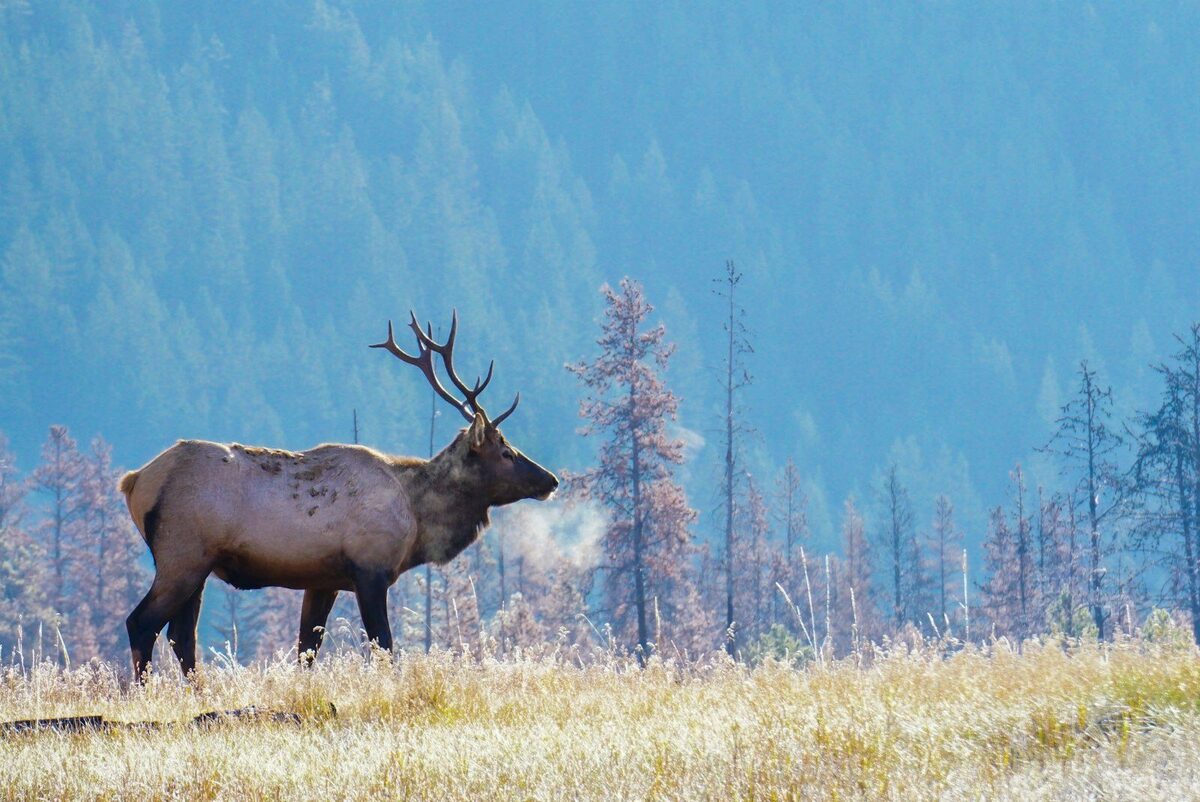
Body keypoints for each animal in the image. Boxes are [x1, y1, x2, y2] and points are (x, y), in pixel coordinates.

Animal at [118, 311, 558, 679]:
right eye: (505, 451)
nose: (551, 480)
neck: (416, 519)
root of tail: (134, 481)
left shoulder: (322, 580)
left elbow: (307, 650)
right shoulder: (370, 569)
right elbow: (384, 647)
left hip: (199, 565)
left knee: (181, 634)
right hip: (182, 554)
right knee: (142, 623)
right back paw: (142, 693)